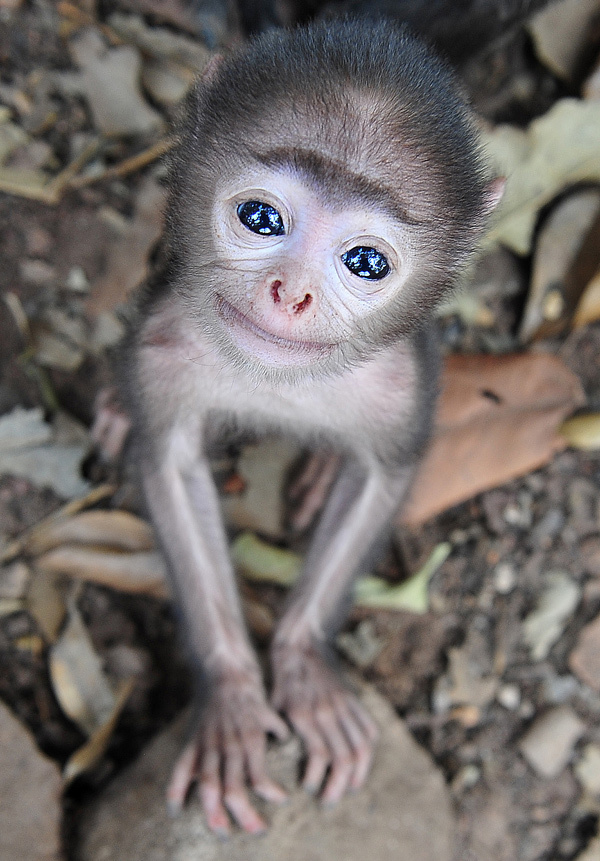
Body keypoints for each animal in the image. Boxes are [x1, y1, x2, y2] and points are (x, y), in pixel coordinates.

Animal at [124, 20, 500, 836]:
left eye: (365, 261)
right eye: (262, 218)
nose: (290, 293)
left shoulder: (402, 383)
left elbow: (384, 474)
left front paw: (304, 669)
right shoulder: (161, 344)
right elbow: (169, 465)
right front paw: (233, 696)